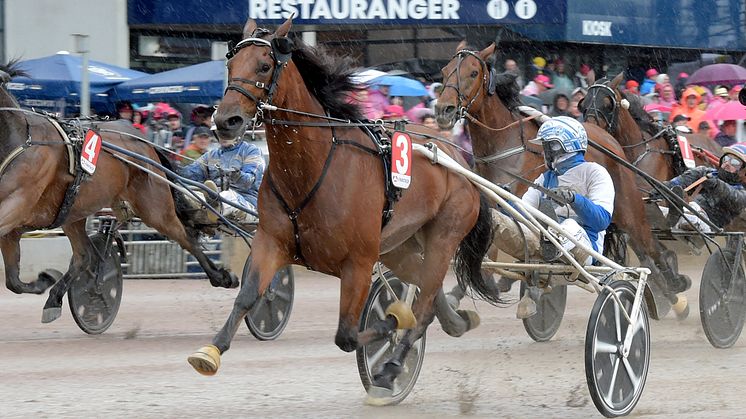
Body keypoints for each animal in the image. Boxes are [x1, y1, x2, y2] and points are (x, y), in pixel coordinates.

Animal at [0, 64, 238, 322]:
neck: (19, 140)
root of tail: (144, 142)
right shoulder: (13, 227)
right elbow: (13, 281)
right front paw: (44, 279)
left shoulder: (15, 203)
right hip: (74, 212)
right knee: (84, 256)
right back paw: (54, 298)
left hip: (154, 208)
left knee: (186, 237)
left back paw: (222, 277)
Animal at [189, 16, 496, 400]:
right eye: (230, 65)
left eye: (263, 65)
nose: (225, 120)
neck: (312, 168)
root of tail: (460, 158)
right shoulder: (271, 241)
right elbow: (246, 296)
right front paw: (210, 350)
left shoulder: (359, 264)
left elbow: (348, 335)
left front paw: (393, 322)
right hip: (399, 244)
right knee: (429, 289)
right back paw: (457, 321)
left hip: (443, 235)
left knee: (424, 303)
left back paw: (392, 365)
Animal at [434, 42, 688, 318]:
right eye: (444, 71)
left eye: (472, 73)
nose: (443, 110)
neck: (504, 146)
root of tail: (610, 140)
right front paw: (460, 293)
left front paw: (530, 291)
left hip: (629, 208)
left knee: (653, 249)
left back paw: (676, 293)